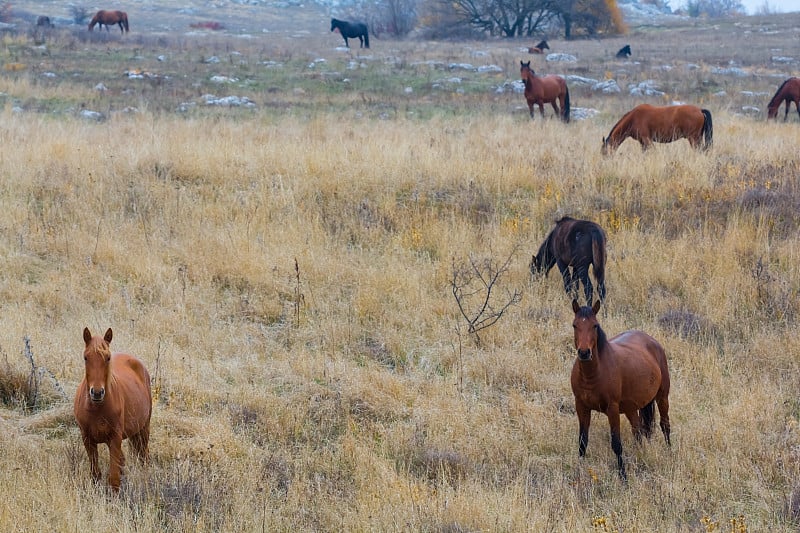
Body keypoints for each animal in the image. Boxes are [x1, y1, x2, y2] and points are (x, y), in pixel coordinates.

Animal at [74, 326, 152, 492]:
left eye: (108, 358)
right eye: (86, 357)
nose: (97, 392)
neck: (96, 408)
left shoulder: (115, 438)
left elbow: (114, 479)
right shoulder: (87, 439)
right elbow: (95, 474)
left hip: (143, 429)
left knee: (144, 457)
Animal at [568, 300, 668, 478]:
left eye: (595, 325)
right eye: (575, 325)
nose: (584, 353)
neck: (593, 374)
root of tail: (652, 342)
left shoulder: (612, 409)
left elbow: (616, 444)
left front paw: (623, 477)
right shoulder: (581, 406)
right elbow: (582, 442)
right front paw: (578, 472)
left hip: (662, 397)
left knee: (665, 425)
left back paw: (671, 453)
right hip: (631, 408)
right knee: (638, 431)